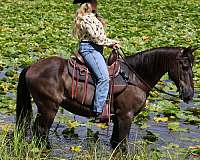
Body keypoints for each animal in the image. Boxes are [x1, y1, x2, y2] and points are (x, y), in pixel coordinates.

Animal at [16, 46, 195, 150]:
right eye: (185, 66)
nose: (189, 94)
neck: (135, 77)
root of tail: (31, 67)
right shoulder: (126, 116)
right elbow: (122, 146)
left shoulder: (118, 118)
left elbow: (115, 144)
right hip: (49, 108)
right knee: (41, 131)